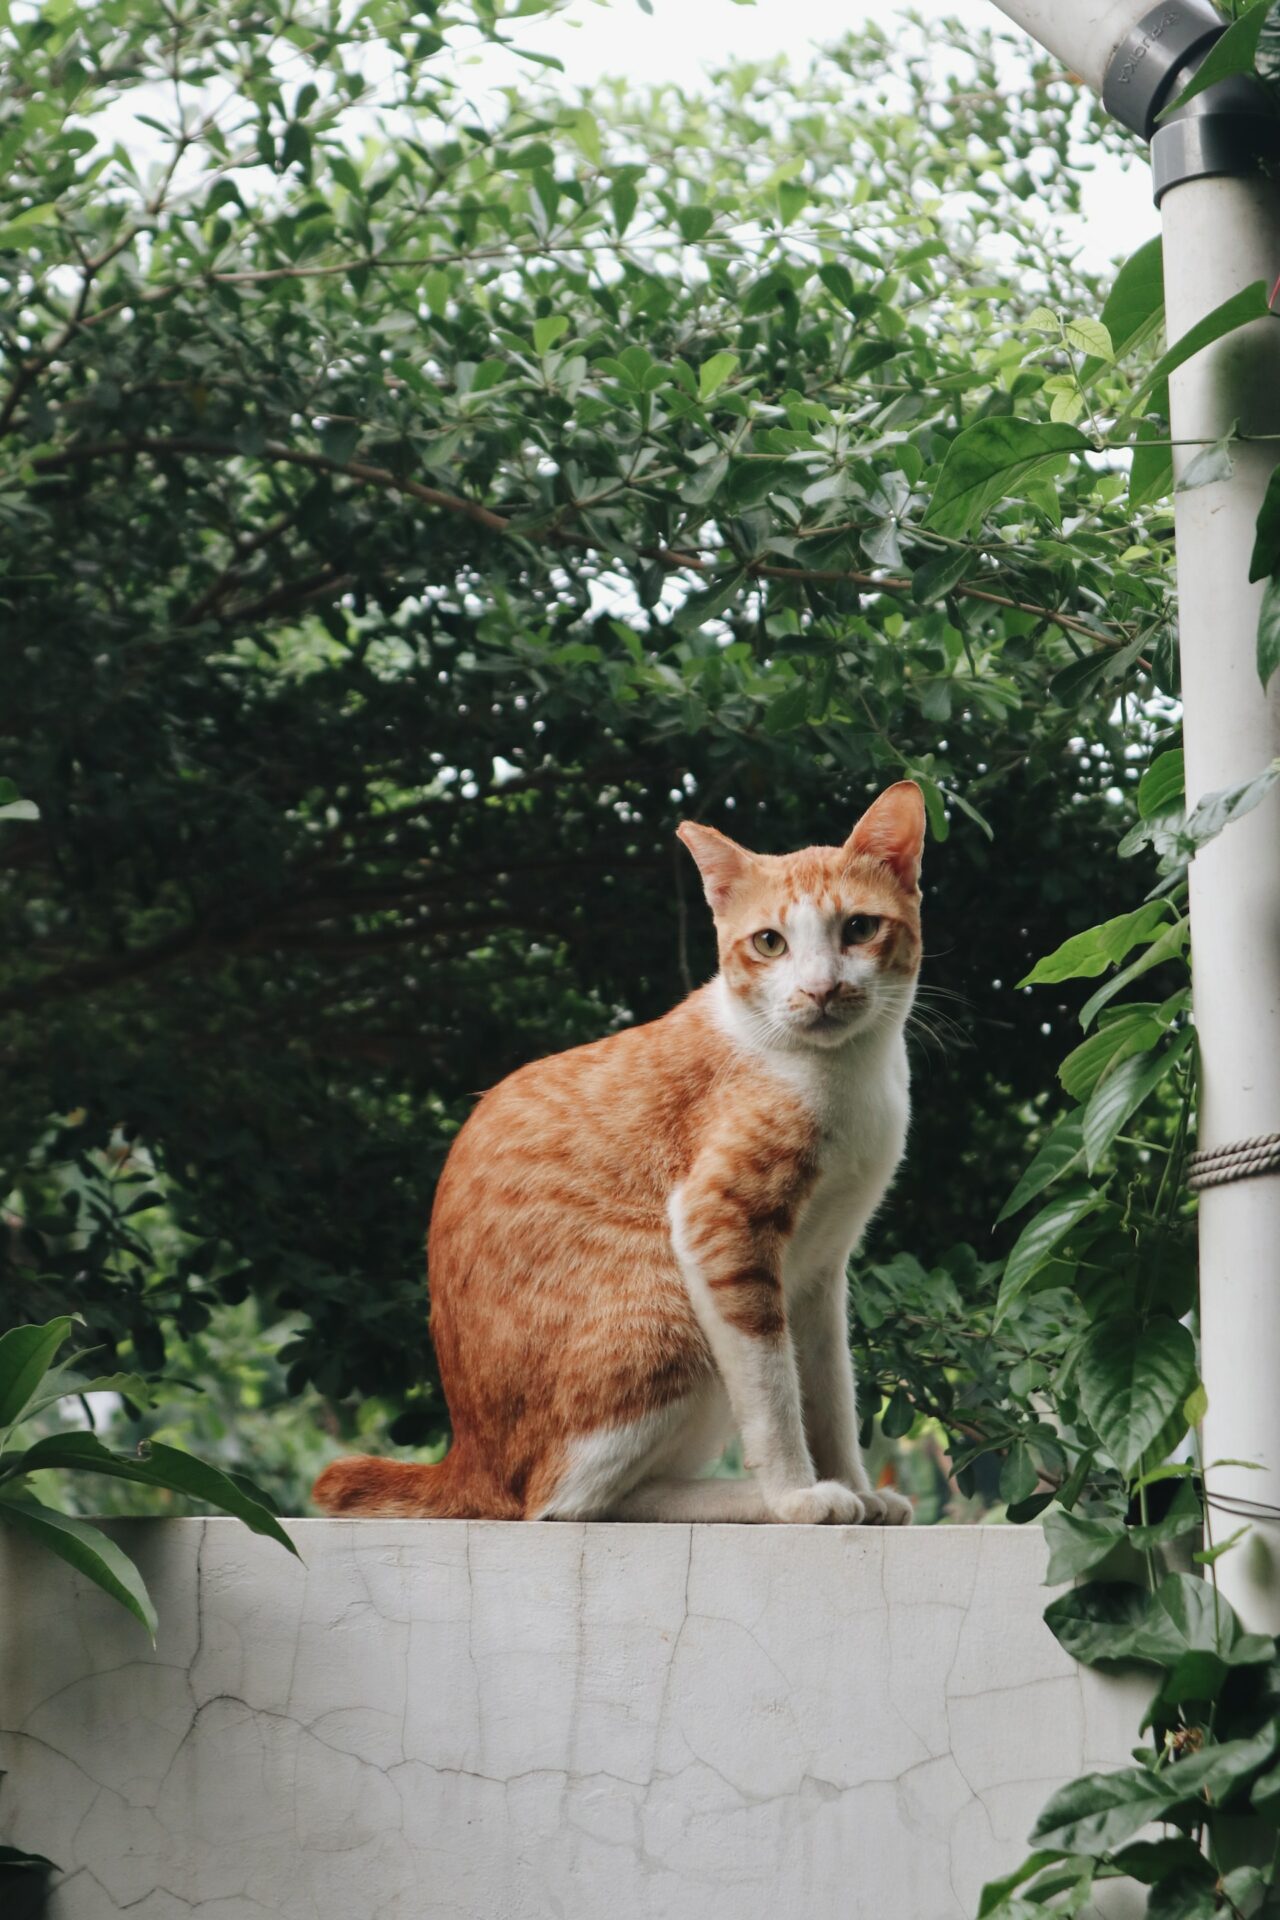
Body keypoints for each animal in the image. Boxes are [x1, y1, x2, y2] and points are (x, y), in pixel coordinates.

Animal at [314, 783, 924, 1528]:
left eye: (859, 929)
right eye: (769, 943)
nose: (821, 990)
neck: (848, 1075)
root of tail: (470, 1460)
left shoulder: (820, 1271)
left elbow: (830, 1394)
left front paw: (858, 1487)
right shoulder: (722, 1226)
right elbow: (776, 1394)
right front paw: (794, 1497)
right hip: (668, 1309)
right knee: (564, 1502)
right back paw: (746, 1500)